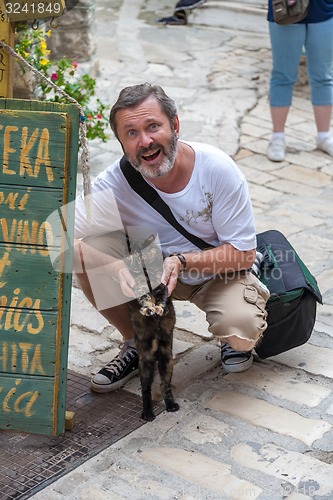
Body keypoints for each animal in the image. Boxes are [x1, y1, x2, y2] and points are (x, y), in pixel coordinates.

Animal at [124, 234, 179, 422]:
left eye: (142, 255)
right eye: (129, 257)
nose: (133, 265)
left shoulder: (163, 286)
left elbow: (162, 298)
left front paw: (160, 309)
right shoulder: (139, 288)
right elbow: (145, 298)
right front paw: (148, 309)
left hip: (166, 360)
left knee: (165, 385)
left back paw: (171, 405)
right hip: (145, 363)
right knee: (146, 390)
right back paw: (147, 413)